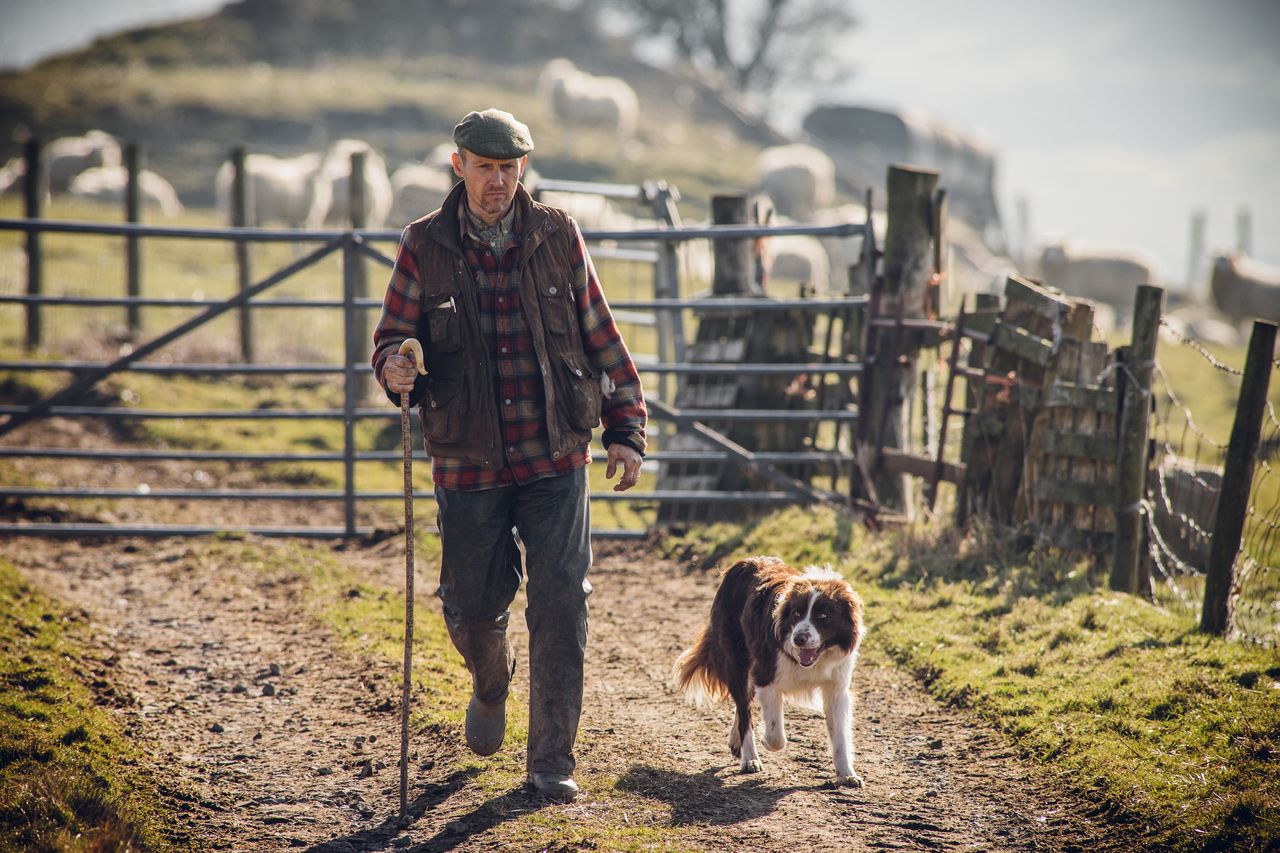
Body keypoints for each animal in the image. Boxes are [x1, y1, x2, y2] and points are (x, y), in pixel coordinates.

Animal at [675, 550, 865, 783]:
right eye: (796, 614)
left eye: (823, 616)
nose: (798, 639)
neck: (815, 660)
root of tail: (745, 562)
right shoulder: (766, 676)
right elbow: (775, 736)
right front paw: (764, 740)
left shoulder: (836, 687)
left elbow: (840, 735)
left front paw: (846, 774)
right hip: (737, 659)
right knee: (744, 709)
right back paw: (750, 758)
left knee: (743, 704)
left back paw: (736, 742)